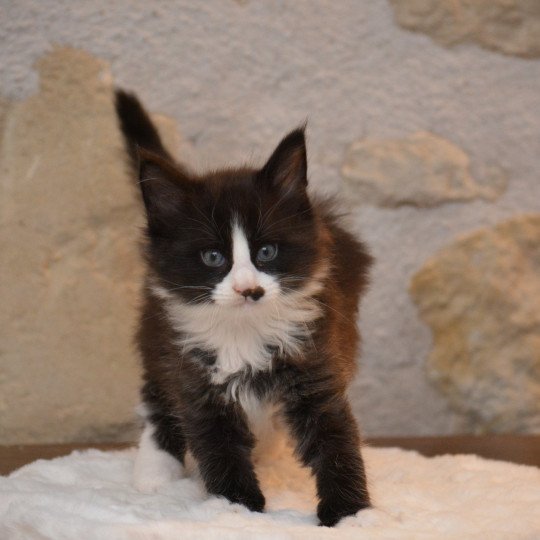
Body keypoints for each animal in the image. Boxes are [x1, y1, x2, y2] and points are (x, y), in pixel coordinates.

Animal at [115, 89, 372, 528]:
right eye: (213, 257)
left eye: (266, 252)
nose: (248, 289)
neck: (244, 332)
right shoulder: (195, 377)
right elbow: (218, 447)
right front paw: (237, 509)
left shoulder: (315, 361)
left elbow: (334, 438)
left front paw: (348, 515)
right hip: (154, 334)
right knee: (156, 398)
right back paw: (154, 472)